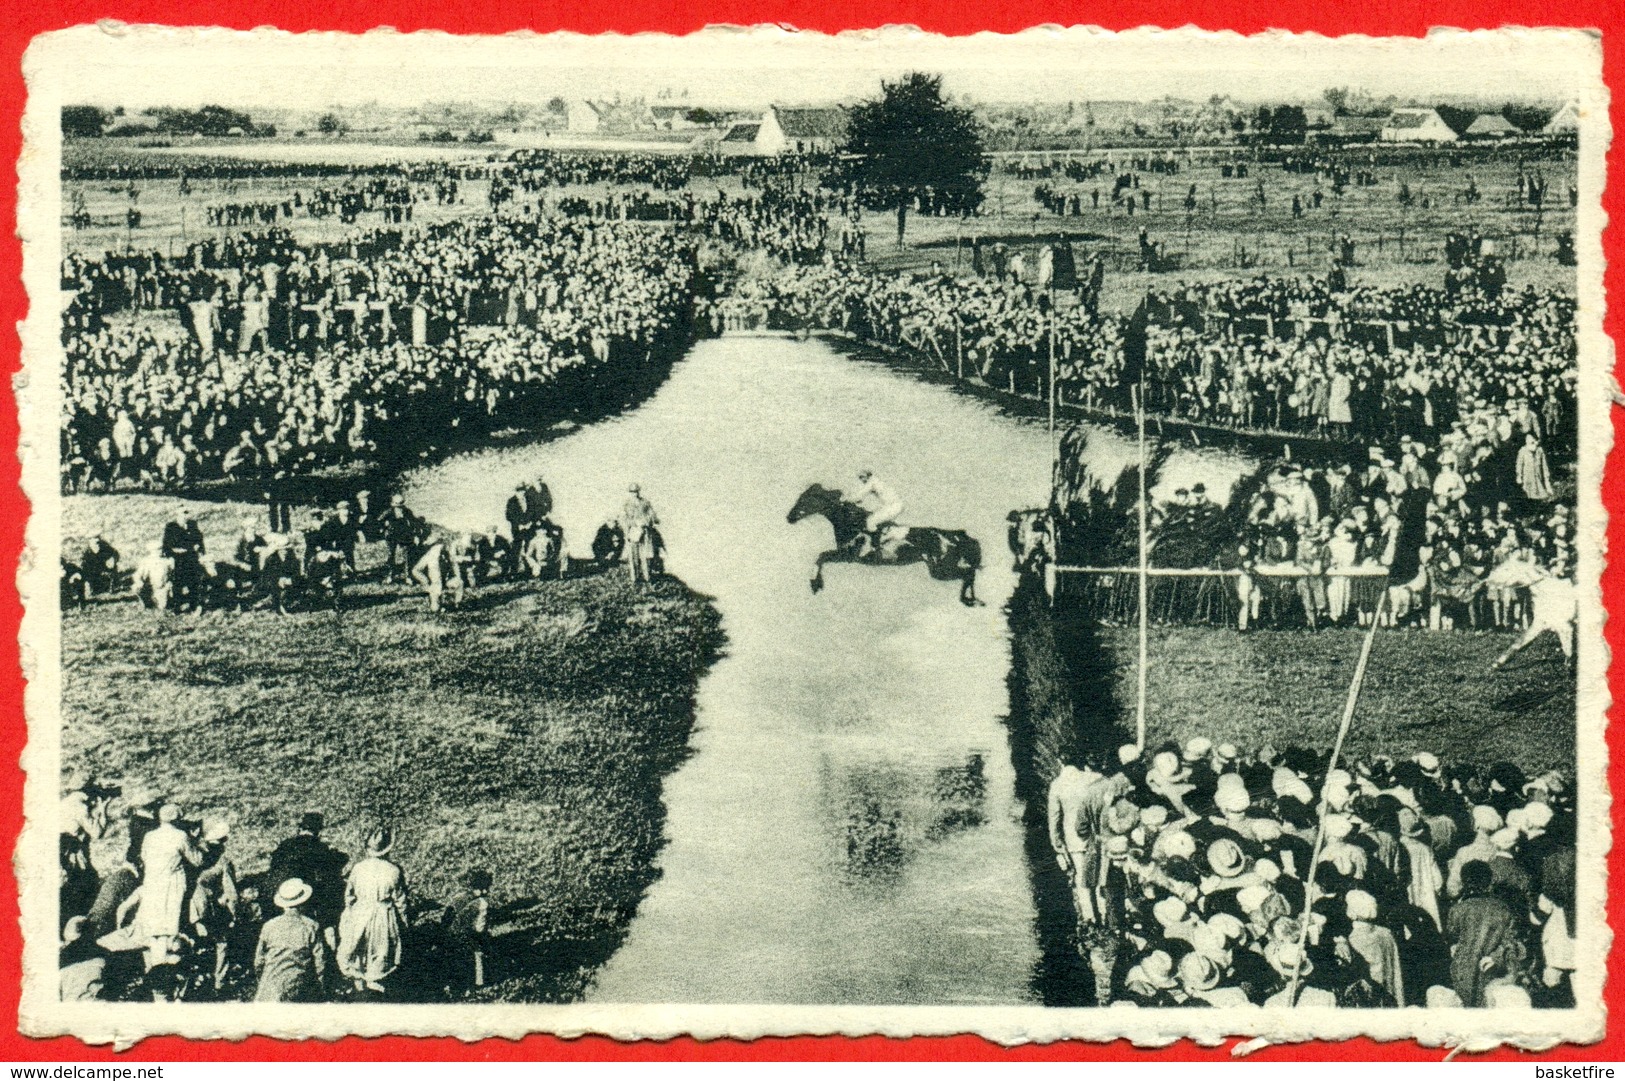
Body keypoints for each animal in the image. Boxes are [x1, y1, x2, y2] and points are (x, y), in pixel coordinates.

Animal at [783, 481, 981, 601]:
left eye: (806, 499)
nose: (789, 517)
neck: (851, 522)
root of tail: (956, 535)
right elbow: (821, 557)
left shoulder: (848, 555)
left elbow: (821, 556)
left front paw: (815, 584)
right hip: (939, 569)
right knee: (969, 574)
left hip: (941, 569)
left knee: (968, 573)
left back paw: (969, 599)